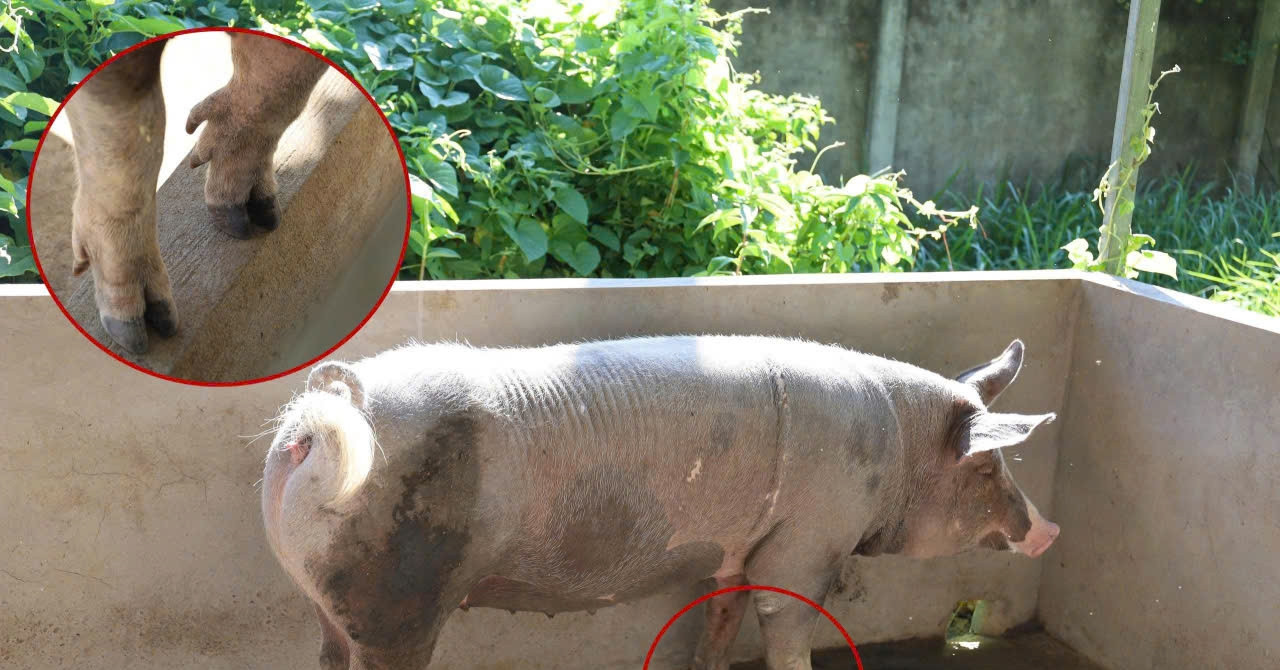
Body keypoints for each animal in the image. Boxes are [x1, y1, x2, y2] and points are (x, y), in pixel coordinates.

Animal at [262, 335, 1060, 670]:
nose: (1048, 530)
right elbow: (787, 631)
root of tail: (326, 410)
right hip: (397, 600)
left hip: (331, 601)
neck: (896, 451)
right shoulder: (806, 546)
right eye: (989, 466)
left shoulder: (739, 553)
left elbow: (720, 624)